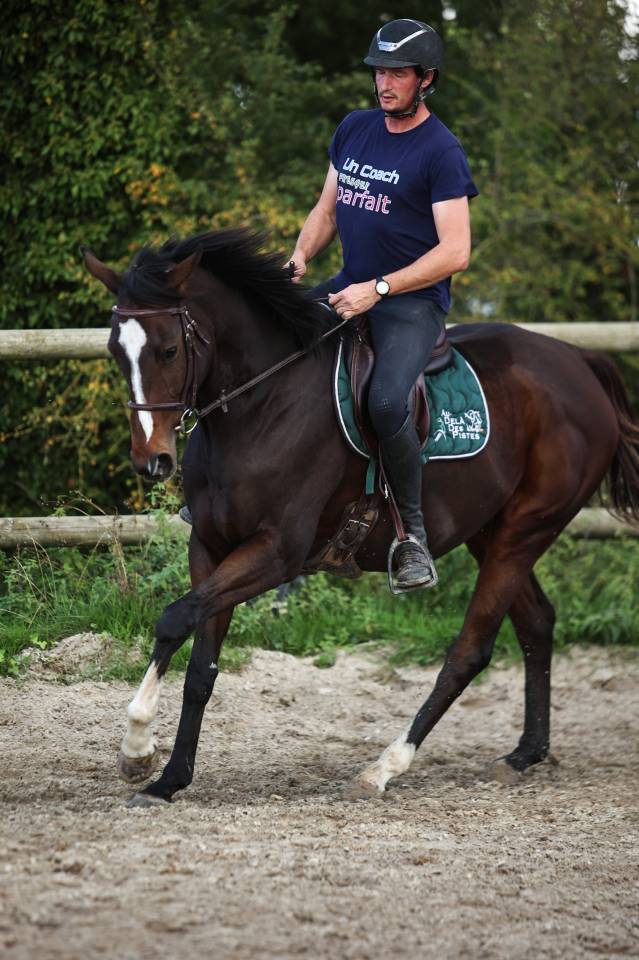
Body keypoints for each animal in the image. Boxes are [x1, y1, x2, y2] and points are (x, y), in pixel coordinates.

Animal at [84, 229, 639, 806]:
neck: (263, 402)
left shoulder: (276, 553)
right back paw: (525, 753)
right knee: (537, 623)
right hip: (492, 533)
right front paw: (167, 776)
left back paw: (386, 767)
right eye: (115, 352)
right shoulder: (211, 547)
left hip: (523, 531)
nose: (152, 461)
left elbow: (174, 617)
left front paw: (137, 750)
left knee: (471, 650)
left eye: (169, 349)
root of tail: (579, 360)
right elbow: (198, 663)